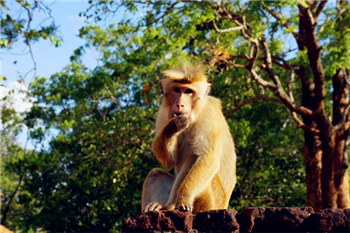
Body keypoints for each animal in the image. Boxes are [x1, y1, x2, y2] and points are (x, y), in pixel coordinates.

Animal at [142, 61, 238, 214]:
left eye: (188, 91)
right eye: (177, 90)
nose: (179, 104)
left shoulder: (209, 116)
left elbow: (208, 159)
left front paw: (184, 198)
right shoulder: (163, 112)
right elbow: (169, 161)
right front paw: (172, 128)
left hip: (211, 202)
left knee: (195, 157)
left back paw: (171, 205)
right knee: (155, 174)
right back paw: (165, 205)